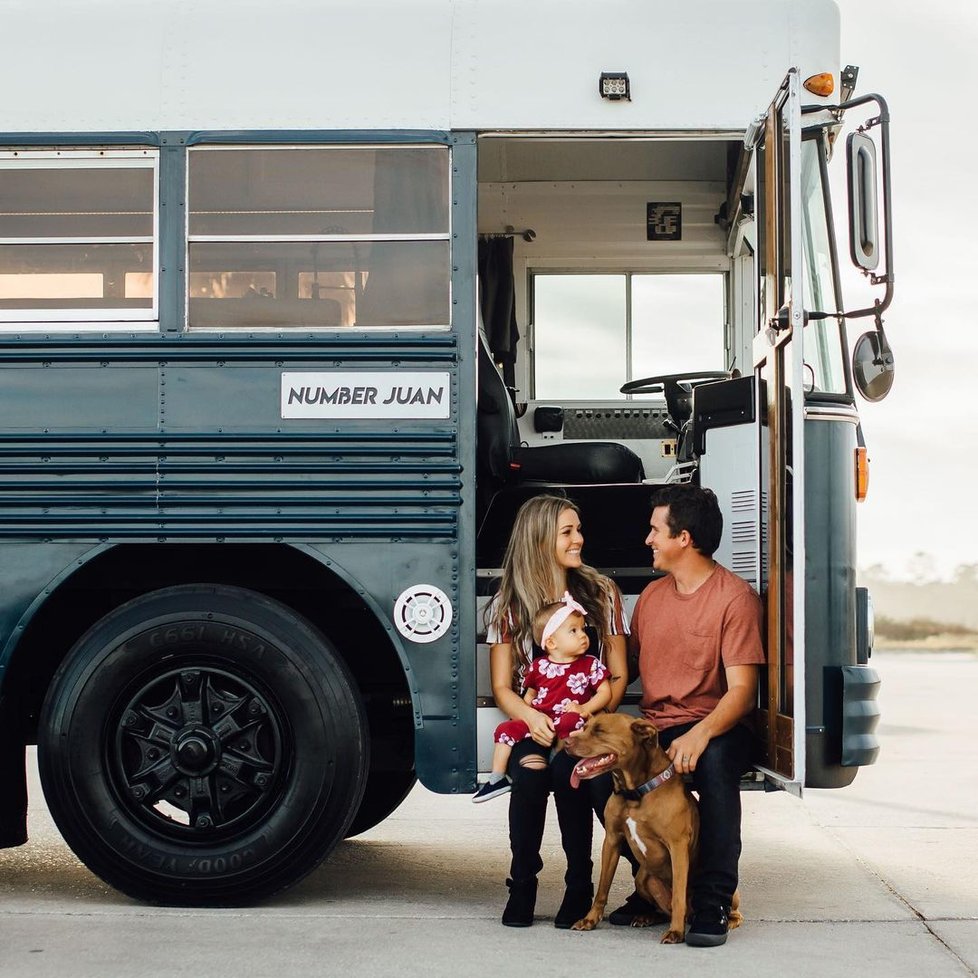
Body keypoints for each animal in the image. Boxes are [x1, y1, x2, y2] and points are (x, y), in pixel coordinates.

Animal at [564, 712, 740, 940]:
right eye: (584, 727)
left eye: (600, 731)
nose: (565, 742)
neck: (635, 792)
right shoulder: (612, 840)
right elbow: (603, 887)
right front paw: (590, 920)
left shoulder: (677, 846)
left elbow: (678, 895)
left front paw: (676, 932)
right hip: (643, 879)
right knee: (666, 909)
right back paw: (646, 917)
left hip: (729, 892)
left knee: (720, 909)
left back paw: (724, 921)